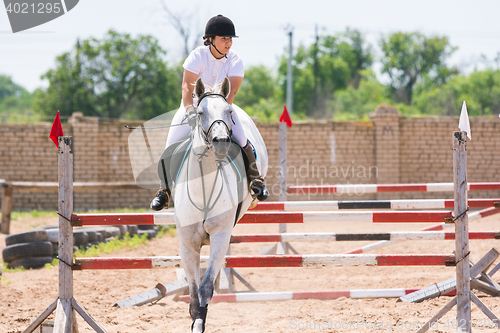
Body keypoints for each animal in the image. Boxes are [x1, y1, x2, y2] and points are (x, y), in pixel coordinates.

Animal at [173, 77, 268, 330]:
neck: (203, 189)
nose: (222, 142)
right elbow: (193, 293)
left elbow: (205, 288)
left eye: (228, 111)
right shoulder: (187, 245)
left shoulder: (220, 236)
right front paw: (195, 319)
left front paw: (199, 322)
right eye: (200, 112)